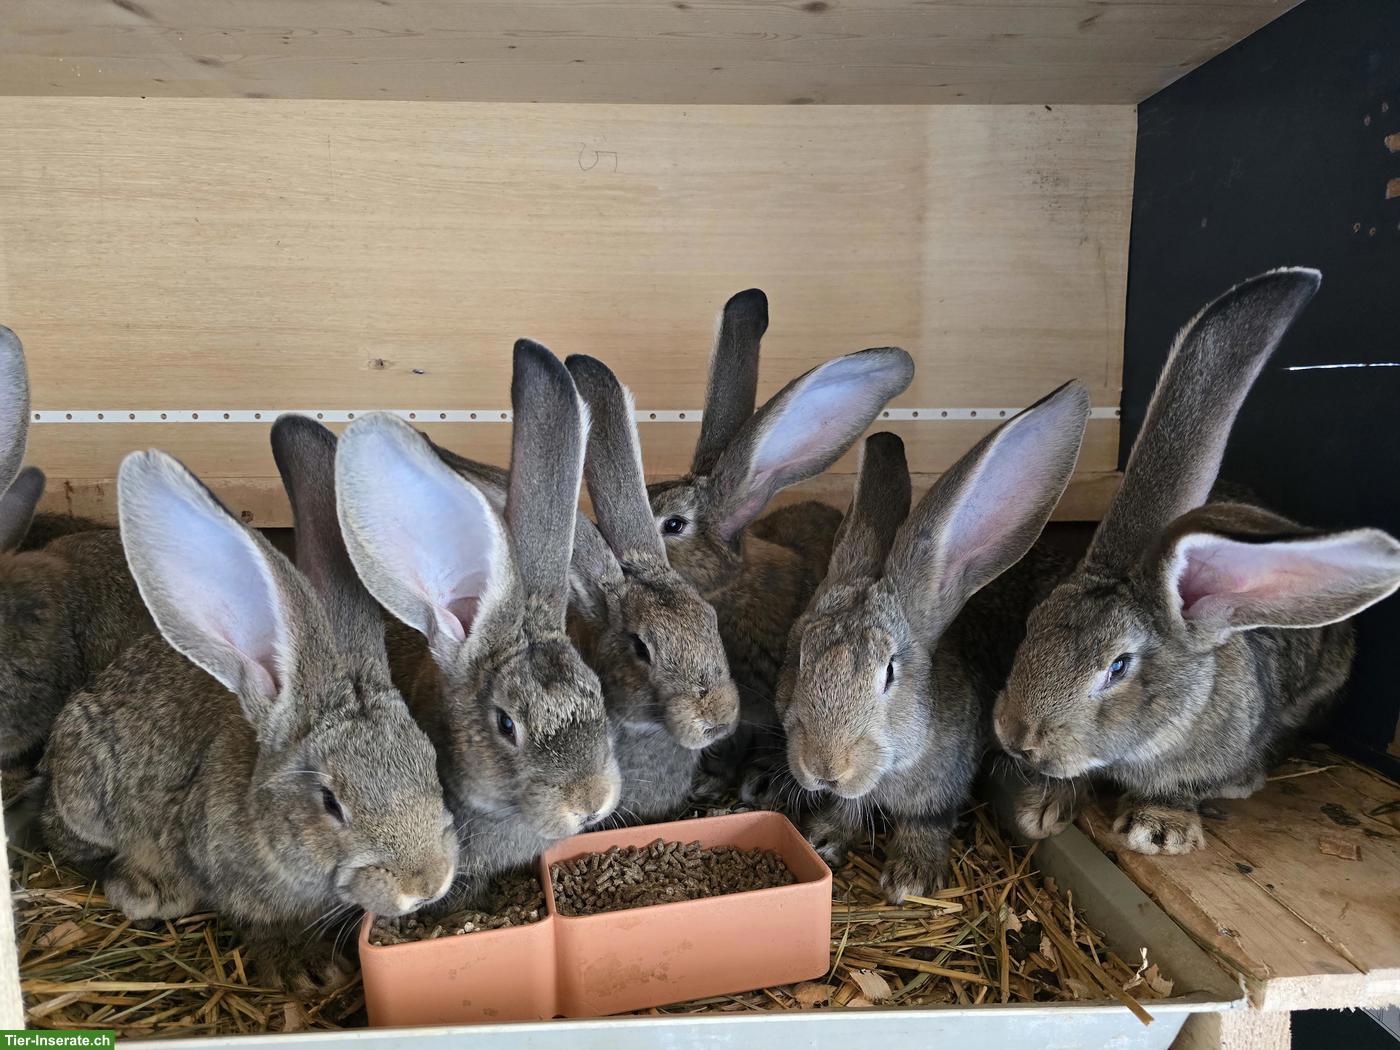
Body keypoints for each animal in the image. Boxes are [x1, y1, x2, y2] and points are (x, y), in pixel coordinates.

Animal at [775, 381, 1090, 901]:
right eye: (800, 657)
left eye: (888, 673)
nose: (825, 767)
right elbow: (847, 809)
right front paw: (822, 837)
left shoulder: (945, 781)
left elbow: (927, 821)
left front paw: (912, 877)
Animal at [993, 267, 1400, 856]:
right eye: (1032, 623)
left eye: (1118, 667)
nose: (1016, 736)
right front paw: (1041, 810)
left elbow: (1184, 786)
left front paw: (1160, 830)